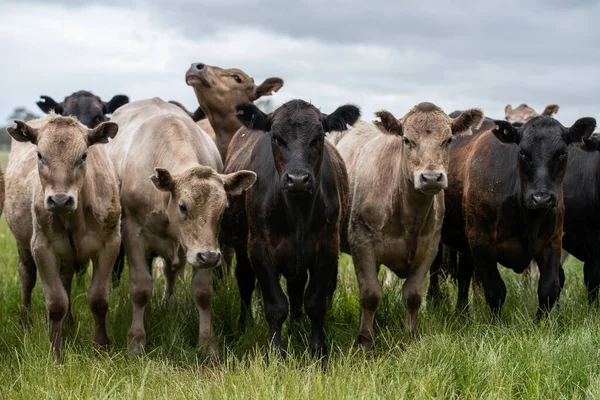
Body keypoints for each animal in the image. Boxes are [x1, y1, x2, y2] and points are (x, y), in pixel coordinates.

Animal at [4, 115, 121, 360]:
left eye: (84, 155)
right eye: (40, 155)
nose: (59, 201)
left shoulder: (110, 245)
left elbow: (98, 300)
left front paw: (101, 347)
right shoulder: (41, 247)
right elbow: (57, 303)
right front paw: (56, 353)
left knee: (66, 278)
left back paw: (69, 324)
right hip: (23, 244)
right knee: (27, 276)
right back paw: (25, 323)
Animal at [106, 99, 255, 356]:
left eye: (223, 207)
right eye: (183, 206)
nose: (208, 257)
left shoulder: (207, 245)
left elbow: (203, 293)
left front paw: (208, 344)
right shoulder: (134, 233)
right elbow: (141, 289)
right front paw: (136, 341)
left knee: (170, 272)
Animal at [338, 103, 482, 350]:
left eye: (449, 139)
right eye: (406, 139)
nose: (431, 177)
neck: (408, 215)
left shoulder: (429, 248)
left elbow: (413, 296)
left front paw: (412, 336)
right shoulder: (362, 244)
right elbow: (370, 295)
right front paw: (365, 341)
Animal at [438, 116, 596, 318]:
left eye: (562, 153)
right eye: (522, 153)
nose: (541, 198)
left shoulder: (553, 241)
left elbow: (548, 289)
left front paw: (541, 322)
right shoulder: (481, 242)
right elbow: (495, 290)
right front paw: (495, 323)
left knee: (464, 274)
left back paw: (462, 312)